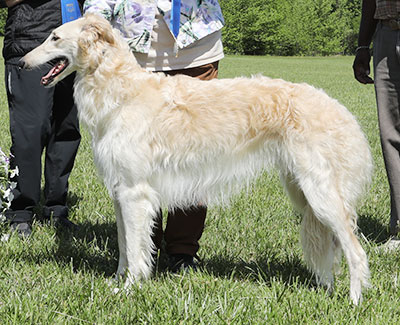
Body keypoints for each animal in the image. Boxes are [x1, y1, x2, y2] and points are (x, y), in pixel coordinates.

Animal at [21, 13, 372, 304]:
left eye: (54, 37)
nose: (22, 63)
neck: (122, 91)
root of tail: (340, 110)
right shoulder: (121, 191)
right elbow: (123, 246)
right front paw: (117, 282)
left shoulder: (135, 193)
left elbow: (134, 250)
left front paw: (130, 288)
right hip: (303, 192)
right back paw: (326, 289)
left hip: (321, 194)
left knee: (356, 251)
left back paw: (353, 302)